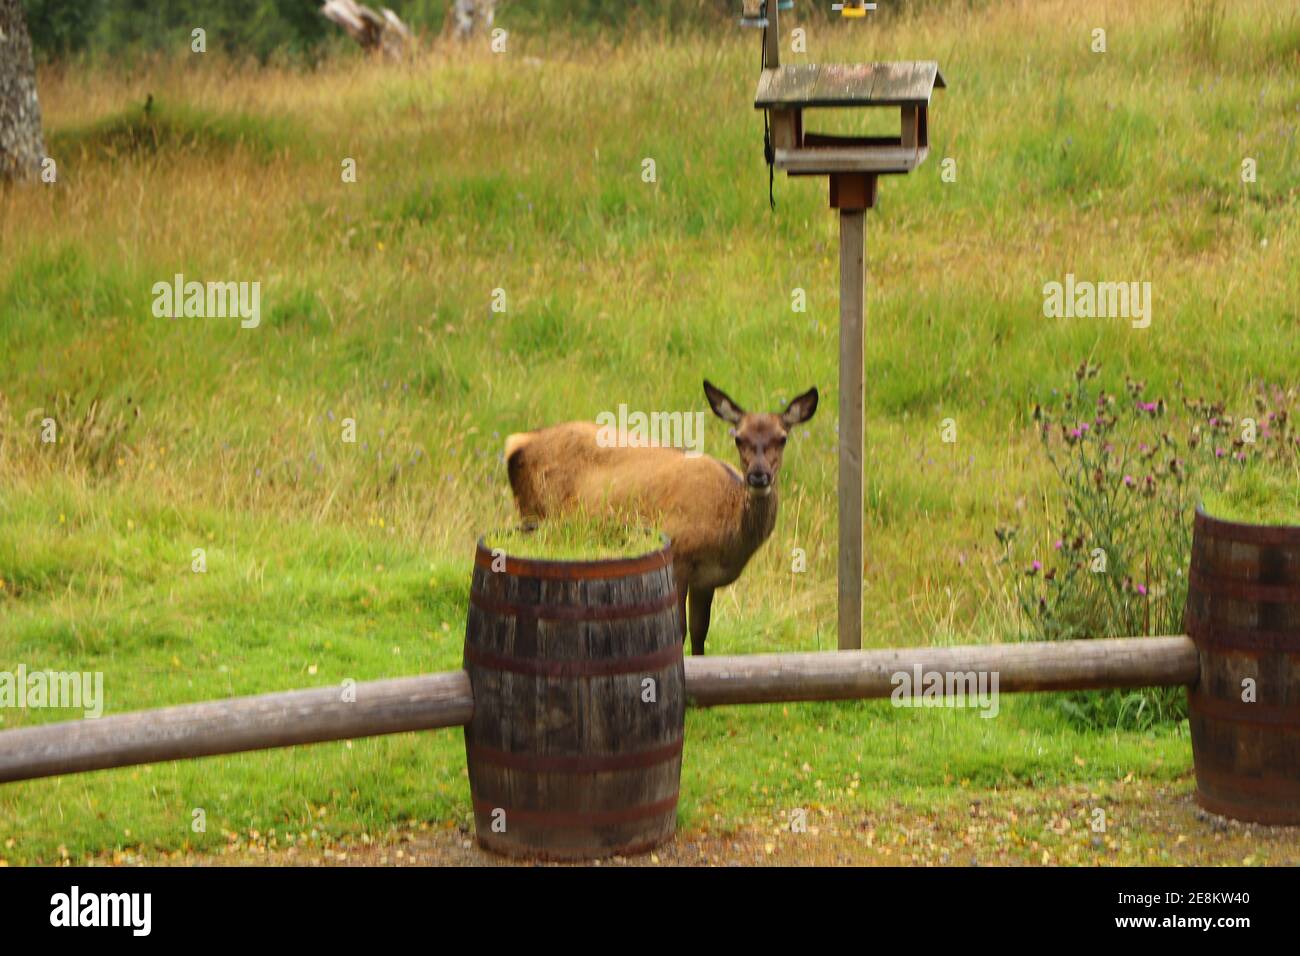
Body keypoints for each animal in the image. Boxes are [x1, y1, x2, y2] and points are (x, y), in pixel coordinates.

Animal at [503, 381, 818, 655]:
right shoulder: (678, 555)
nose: (758, 476)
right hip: (536, 518)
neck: (728, 531)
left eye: (782, 438)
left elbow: (700, 633)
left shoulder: (706, 580)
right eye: (739, 438)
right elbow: (678, 630)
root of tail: (516, 442)